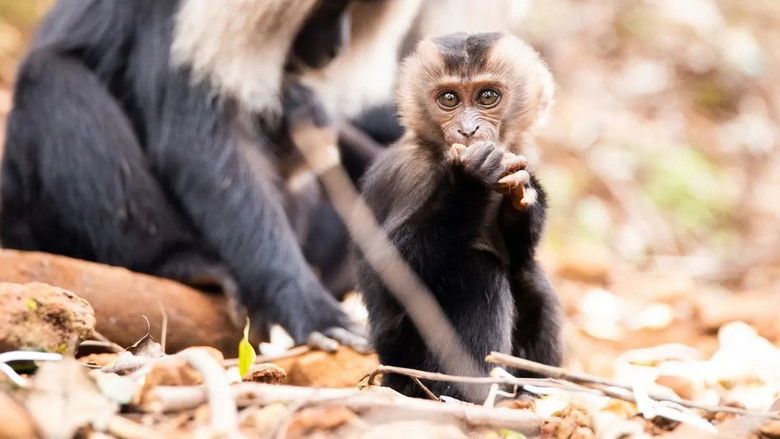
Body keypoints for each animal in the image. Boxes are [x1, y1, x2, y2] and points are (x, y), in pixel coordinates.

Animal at [0, 0, 423, 349]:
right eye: (327, 6)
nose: (334, 47)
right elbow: (202, 146)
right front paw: (304, 301)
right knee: (52, 78)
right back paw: (178, 261)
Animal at [356, 32, 563, 401]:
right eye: (449, 99)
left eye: (487, 96)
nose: (468, 130)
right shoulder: (413, 172)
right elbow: (386, 273)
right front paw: (469, 180)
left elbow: (520, 253)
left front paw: (524, 196)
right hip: (403, 360)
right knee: (476, 268)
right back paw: (466, 395)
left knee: (528, 278)